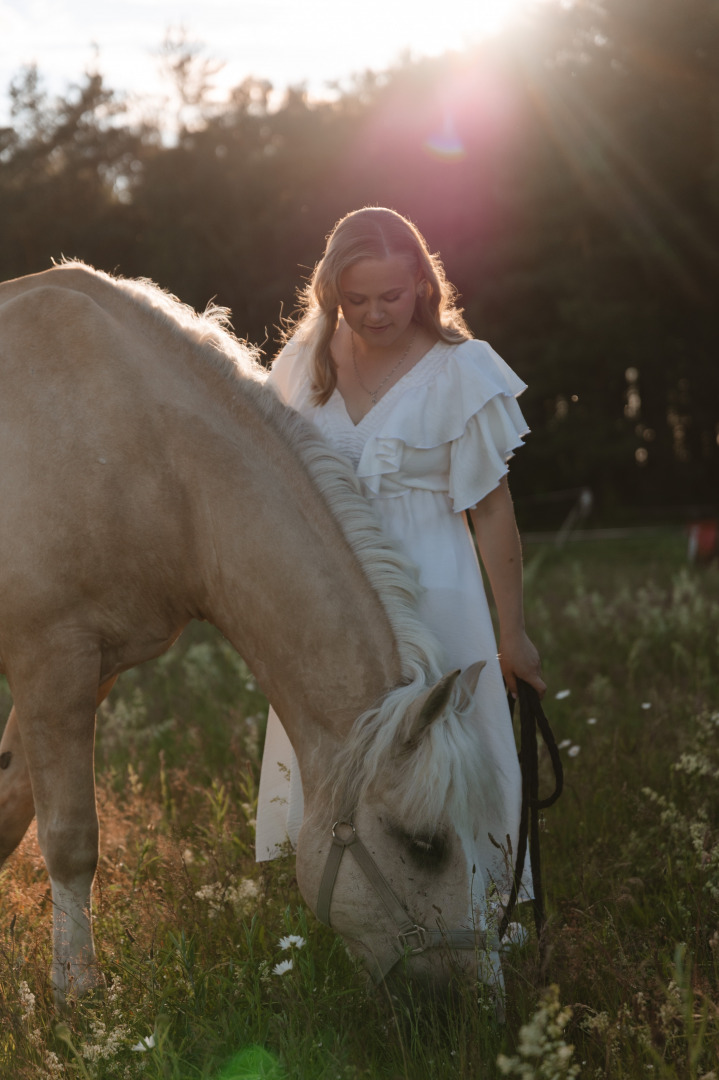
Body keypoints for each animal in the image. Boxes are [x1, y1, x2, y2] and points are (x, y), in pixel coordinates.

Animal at [0, 261, 511, 1002]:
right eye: (423, 844)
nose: (480, 1001)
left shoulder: (90, 668)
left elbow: (10, 805)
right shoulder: (48, 658)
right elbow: (70, 837)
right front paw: (76, 996)